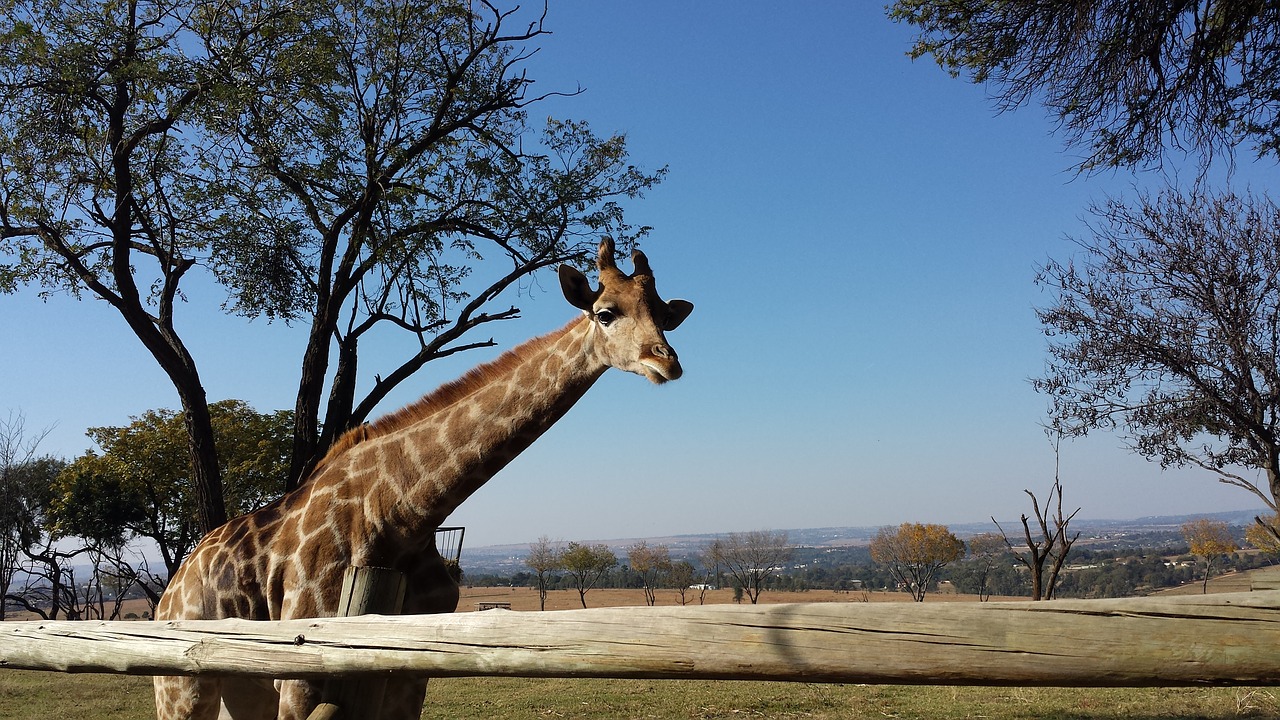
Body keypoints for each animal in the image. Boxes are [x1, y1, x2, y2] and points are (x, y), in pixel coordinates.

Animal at [153, 239, 696, 717]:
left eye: (664, 315)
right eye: (605, 312)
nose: (665, 361)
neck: (404, 514)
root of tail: (170, 588)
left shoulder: (412, 666)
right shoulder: (306, 656)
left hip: (242, 686)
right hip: (183, 684)